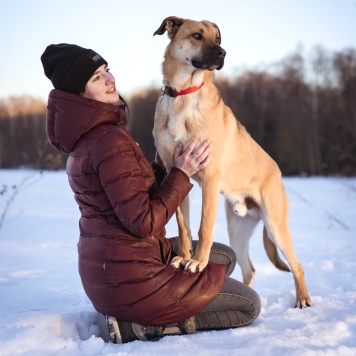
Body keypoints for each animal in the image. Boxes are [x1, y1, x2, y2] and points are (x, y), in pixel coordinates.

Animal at [153, 15, 312, 308]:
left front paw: (198, 263)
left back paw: (303, 299)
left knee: (297, 265)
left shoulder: (209, 180)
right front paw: (184, 257)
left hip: (275, 225)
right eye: (196, 35)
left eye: (217, 38)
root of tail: (277, 173)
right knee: (250, 269)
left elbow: (204, 228)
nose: (222, 53)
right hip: (238, 229)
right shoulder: (175, 171)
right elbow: (183, 225)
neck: (184, 94)